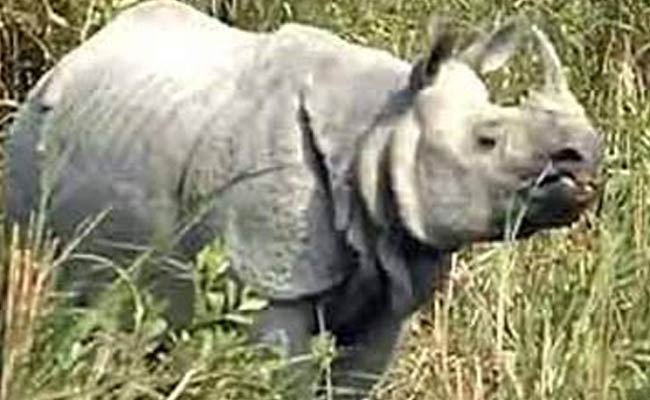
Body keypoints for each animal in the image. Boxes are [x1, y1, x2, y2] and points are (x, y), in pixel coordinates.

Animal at [5, 0, 600, 397]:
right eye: (487, 140)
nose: (587, 158)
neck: (379, 131)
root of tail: (65, 62)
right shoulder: (271, 282)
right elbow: (283, 373)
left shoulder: (394, 275)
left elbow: (358, 376)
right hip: (29, 148)